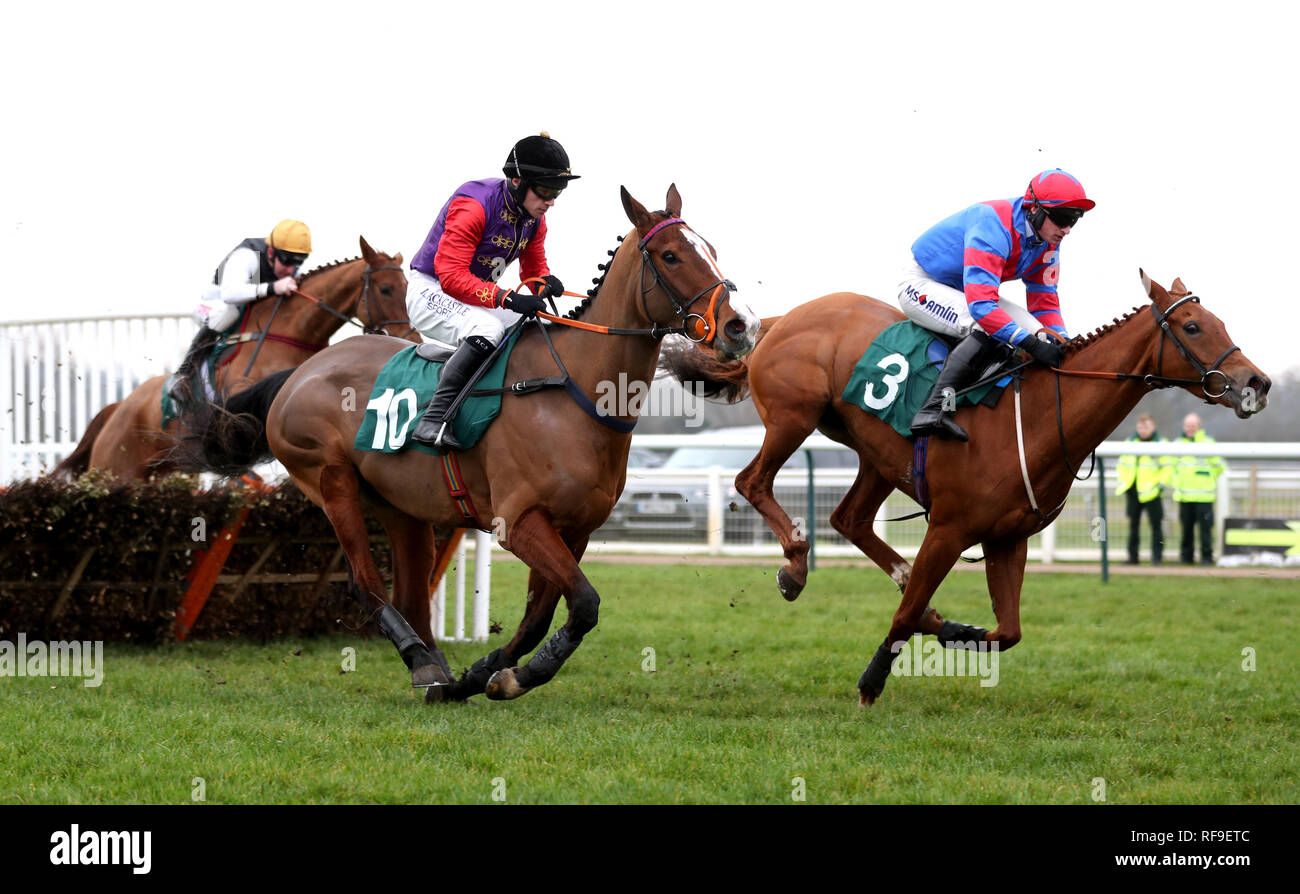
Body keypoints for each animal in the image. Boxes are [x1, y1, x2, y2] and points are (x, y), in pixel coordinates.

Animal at [52, 233, 410, 478]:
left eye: (407, 287)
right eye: (386, 289)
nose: (411, 338)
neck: (291, 334)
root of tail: (116, 409)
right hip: (117, 471)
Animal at [178, 187, 759, 706]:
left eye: (710, 248)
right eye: (670, 254)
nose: (741, 326)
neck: (573, 392)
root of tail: (299, 372)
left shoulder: (574, 530)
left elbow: (543, 615)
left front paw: (487, 675)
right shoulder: (518, 522)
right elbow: (585, 603)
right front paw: (503, 676)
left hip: (404, 511)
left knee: (412, 595)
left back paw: (435, 673)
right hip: (331, 481)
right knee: (366, 583)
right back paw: (422, 660)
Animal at [670, 272, 1268, 706]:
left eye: (1216, 320)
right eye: (1192, 326)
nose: (1255, 383)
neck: (1037, 416)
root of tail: (780, 320)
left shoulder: (1009, 537)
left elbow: (1008, 631)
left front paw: (949, 626)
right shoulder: (949, 529)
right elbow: (906, 617)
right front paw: (872, 681)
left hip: (876, 455)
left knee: (849, 519)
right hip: (795, 416)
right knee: (753, 482)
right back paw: (795, 567)